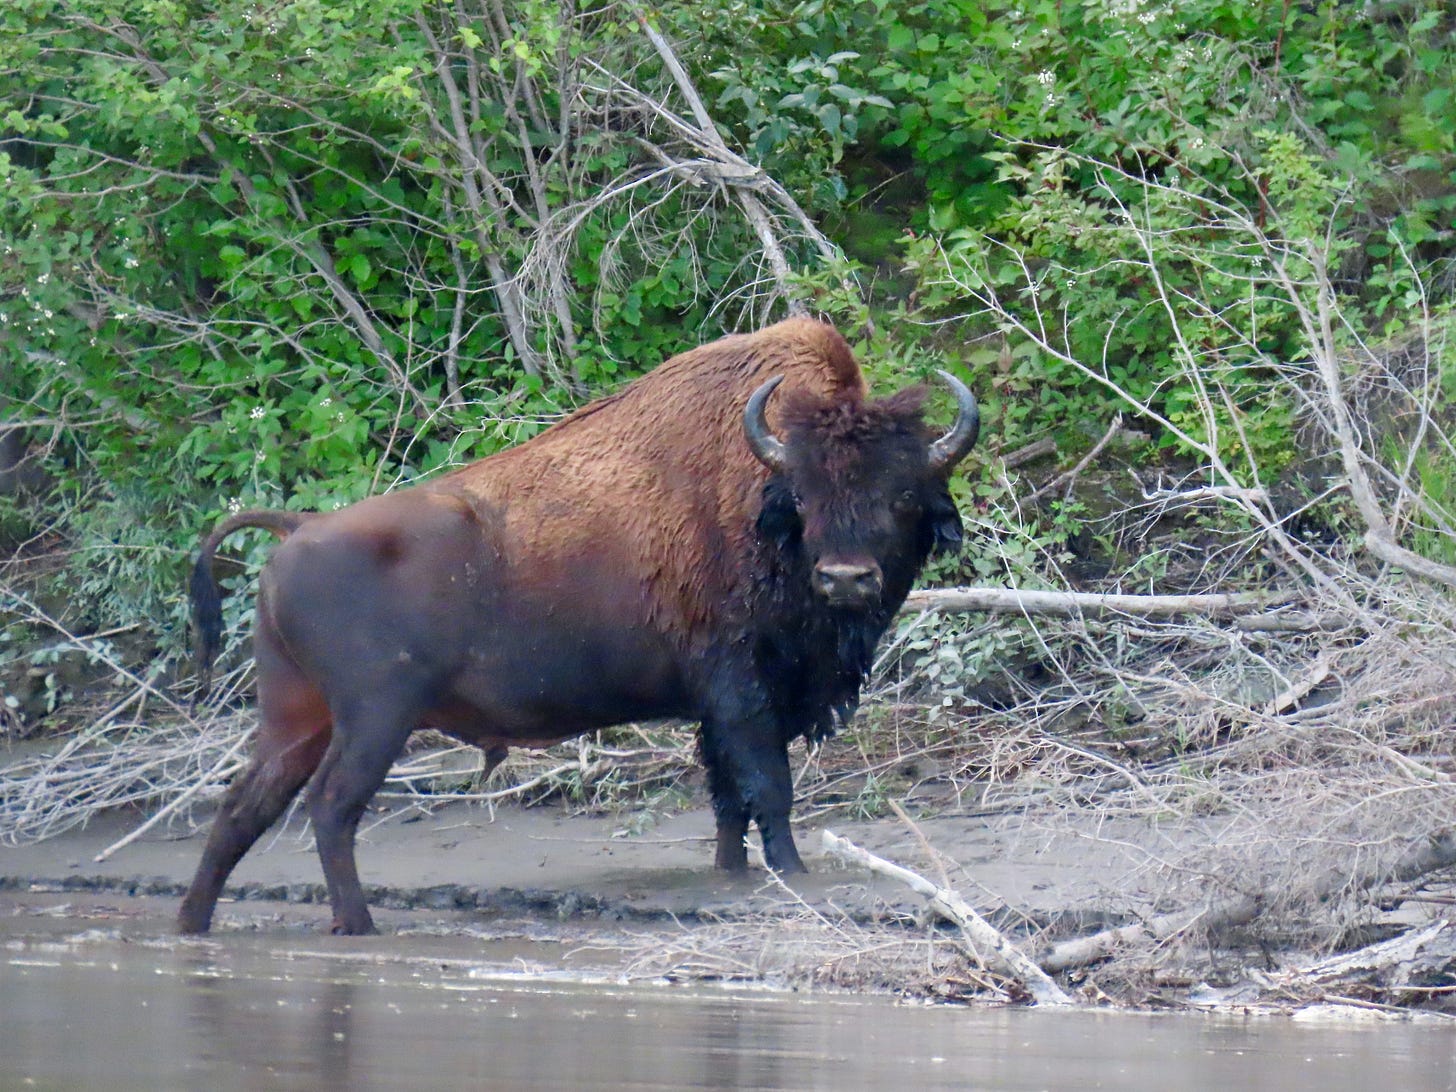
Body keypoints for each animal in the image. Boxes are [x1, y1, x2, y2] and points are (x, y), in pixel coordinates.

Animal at [177, 318, 978, 935]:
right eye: (804, 496)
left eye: (903, 494)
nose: (846, 578)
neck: (759, 505)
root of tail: (296, 530)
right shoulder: (744, 691)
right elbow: (767, 788)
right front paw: (792, 870)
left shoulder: (721, 706)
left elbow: (727, 799)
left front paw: (733, 873)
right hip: (376, 715)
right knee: (331, 806)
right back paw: (358, 925)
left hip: (297, 716)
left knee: (245, 807)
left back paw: (195, 923)